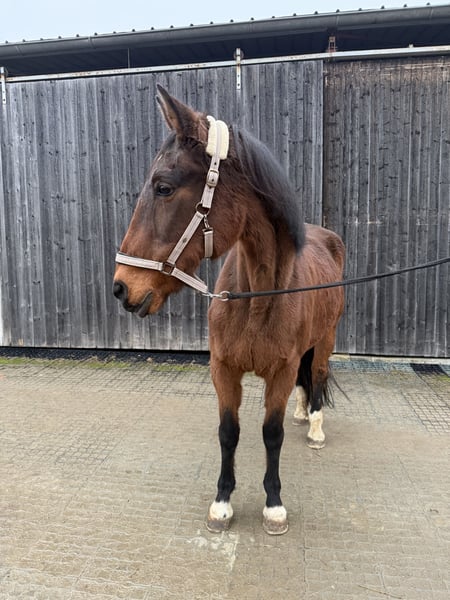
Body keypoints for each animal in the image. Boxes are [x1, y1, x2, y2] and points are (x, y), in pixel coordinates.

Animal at [113, 86, 345, 535]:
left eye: (163, 187)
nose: (121, 287)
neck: (256, 299)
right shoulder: (222, 368)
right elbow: (228, 432)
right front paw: (221, 503)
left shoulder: (281, 370)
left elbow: (271, 434)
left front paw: (274, 505)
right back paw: (301, 413)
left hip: (325, 339)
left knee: (318, 375)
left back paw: (315, 427)